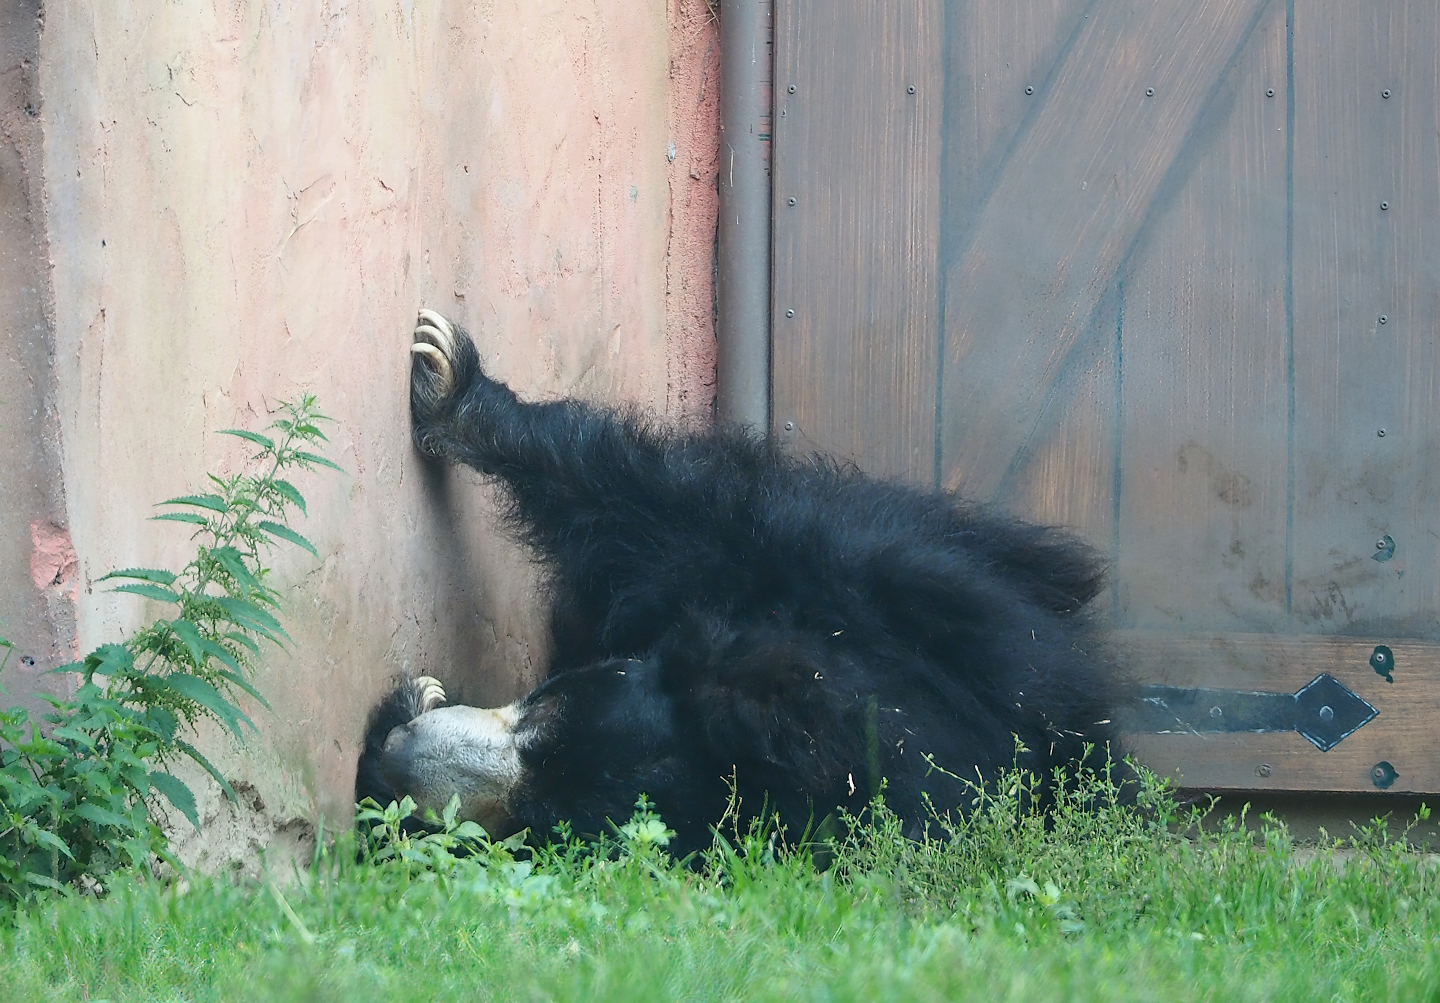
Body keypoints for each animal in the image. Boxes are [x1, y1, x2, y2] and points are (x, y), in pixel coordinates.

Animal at [354, 310, 1126, 857]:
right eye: (544, 710)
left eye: (534, 822)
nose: (401, 757)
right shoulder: (841, 584)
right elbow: (657, 507)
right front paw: (447, 381)